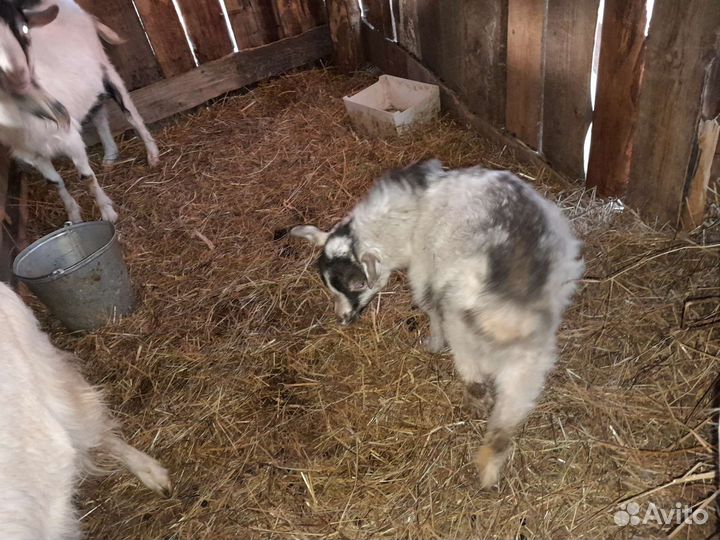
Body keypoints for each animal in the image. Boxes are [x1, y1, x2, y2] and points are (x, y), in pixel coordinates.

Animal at [0, 0, 159, 224]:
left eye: (24, 29)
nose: (19, 78)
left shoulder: (70, 139)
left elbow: (86, 177)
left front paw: (108, 213)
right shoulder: (33, 154)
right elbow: (55, 183)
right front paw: (74, 216)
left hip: (106, 69)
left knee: (131, 114)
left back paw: (152, 154)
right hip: (88, 87)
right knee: (98, 114)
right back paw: (110, 155)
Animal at [291, 160, 584, 487]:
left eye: (352, 287)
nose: (341, 319)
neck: (411, 209)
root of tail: (510, 311)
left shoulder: (423, 267)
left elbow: (427, 303)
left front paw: (432, 343)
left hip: (463, 327)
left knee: (470, 369)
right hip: (530, 363)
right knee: (505, 423)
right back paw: (488, 471)